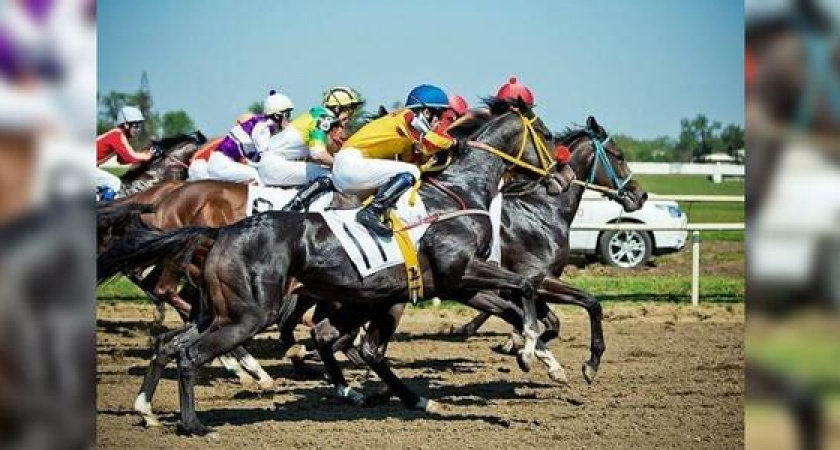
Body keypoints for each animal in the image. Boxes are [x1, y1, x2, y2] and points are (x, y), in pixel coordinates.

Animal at [98, 98, 556, 436]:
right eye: (548, 137)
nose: (557, 180)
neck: (459, 193)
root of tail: (222, 232)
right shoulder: (459, 271)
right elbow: (526, 287)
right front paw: (529, 349)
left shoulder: (458, 282)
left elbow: (516, 299)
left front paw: (539, 352)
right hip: (250, 314)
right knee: (191, 353)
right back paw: (195, 423)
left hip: (222, 310)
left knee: (170, 344)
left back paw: (148, 409)